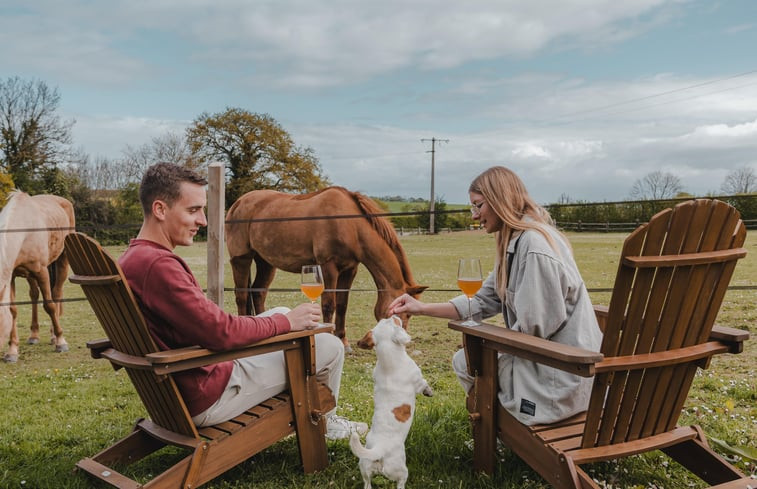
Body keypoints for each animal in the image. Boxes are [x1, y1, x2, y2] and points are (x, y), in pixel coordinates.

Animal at [0, 191, 74, 362]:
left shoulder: (42, 272)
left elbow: (49, 305)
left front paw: (61, 342)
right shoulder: (11, 276)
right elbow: (13, 310)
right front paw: (12, 350)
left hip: (62, 260)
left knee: (56, 294)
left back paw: (54, 336)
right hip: (30, 275)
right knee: (34, 295)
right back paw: (34, 335)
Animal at [223, 185, 426, 348]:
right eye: (404, 314)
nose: (403, 341)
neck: (350, 224)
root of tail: (238, 203)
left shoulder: (350, 269)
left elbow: (342, 305)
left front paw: (343, 341)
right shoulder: (328, 267)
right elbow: (329, 304)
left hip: (266, 262)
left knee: (258, 292)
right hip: (241, 259)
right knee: (241, 295)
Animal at [348, 314, 432, 486]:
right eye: (393, 321)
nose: (393, 314)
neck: (389, 360)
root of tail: (379, 449)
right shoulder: (418, 381)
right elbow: (424, 384)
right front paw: (429, 391)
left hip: (364, 468)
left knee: (367, 483)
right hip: (400, 470)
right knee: (401, 481)